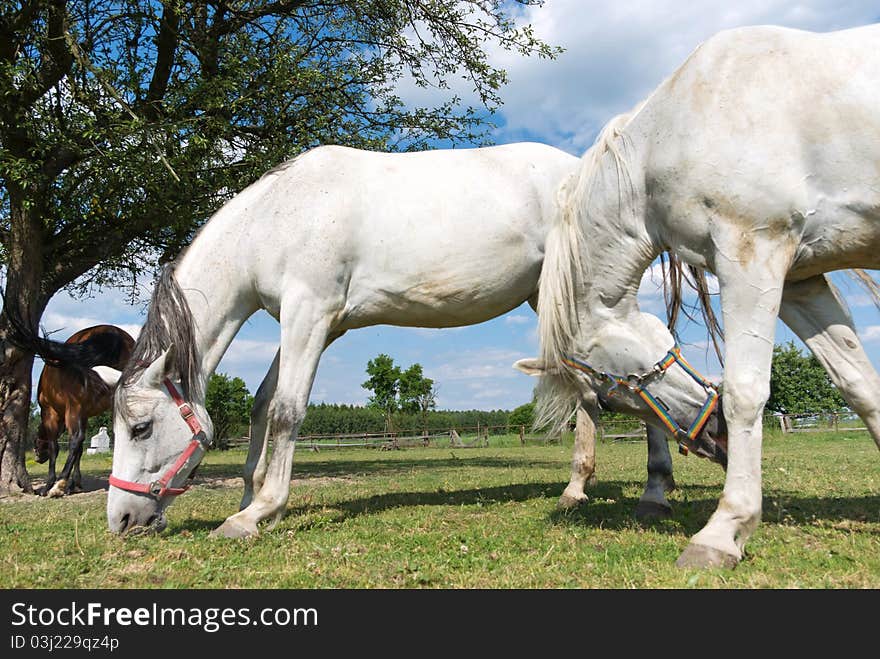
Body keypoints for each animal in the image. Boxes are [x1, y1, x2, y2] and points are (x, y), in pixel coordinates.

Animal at [33, 324, 134, 496]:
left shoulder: (50, 412)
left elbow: (56, 447)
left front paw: (51, 485)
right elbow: (79, 451)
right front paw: (75, 484)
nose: (37, 459)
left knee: (75, 439)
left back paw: (58, 485)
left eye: (36, 442)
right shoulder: (85, 415)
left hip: (74, 407)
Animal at [516, 24, 880, 568]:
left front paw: (724, 531)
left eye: (610, 387)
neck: (676, 127)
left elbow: (747, 392)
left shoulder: (752, 252)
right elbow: (859, 385)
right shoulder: (801, 279)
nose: (716, 436)